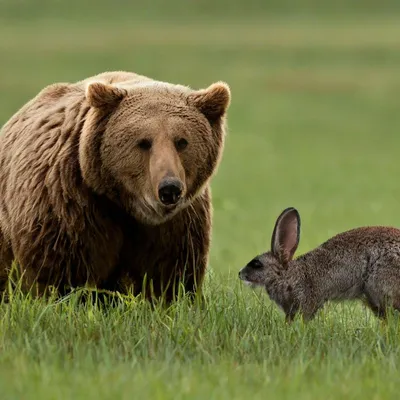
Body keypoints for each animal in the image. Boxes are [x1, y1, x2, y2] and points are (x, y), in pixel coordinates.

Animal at [0, 70, 231, 302]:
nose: (169, 189)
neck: (126, 206)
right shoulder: (69, 204)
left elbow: (167, 278)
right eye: (143, 142)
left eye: (182, 141)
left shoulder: (177, 224)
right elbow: (61, 274)